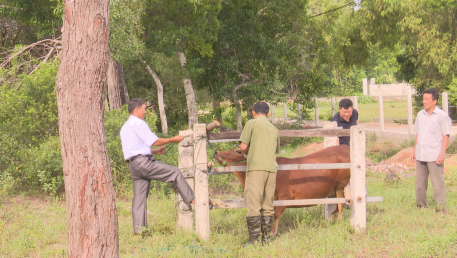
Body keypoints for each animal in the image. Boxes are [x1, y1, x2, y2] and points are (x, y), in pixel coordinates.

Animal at [212, 145, 350, 236]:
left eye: (238, 151)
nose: (216, 153)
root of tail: (345, 147)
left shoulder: (285, 197)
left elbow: (276, 214)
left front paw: (273, 232)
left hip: (340, 185)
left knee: (341, 204)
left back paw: (338, 222)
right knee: (334, 206)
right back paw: (330, 221)